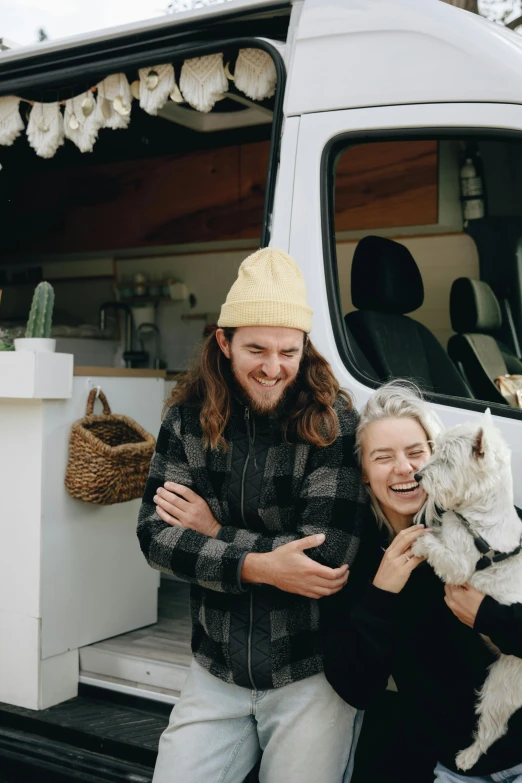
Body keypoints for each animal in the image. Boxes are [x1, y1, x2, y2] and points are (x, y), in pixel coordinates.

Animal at [410, 410, 520, 772]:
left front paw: (416, 544)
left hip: (503, 682)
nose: (417, 476)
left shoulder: (459, 564)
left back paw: (466, 758)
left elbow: (433, 545)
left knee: (493, 727)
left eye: (446, 459)